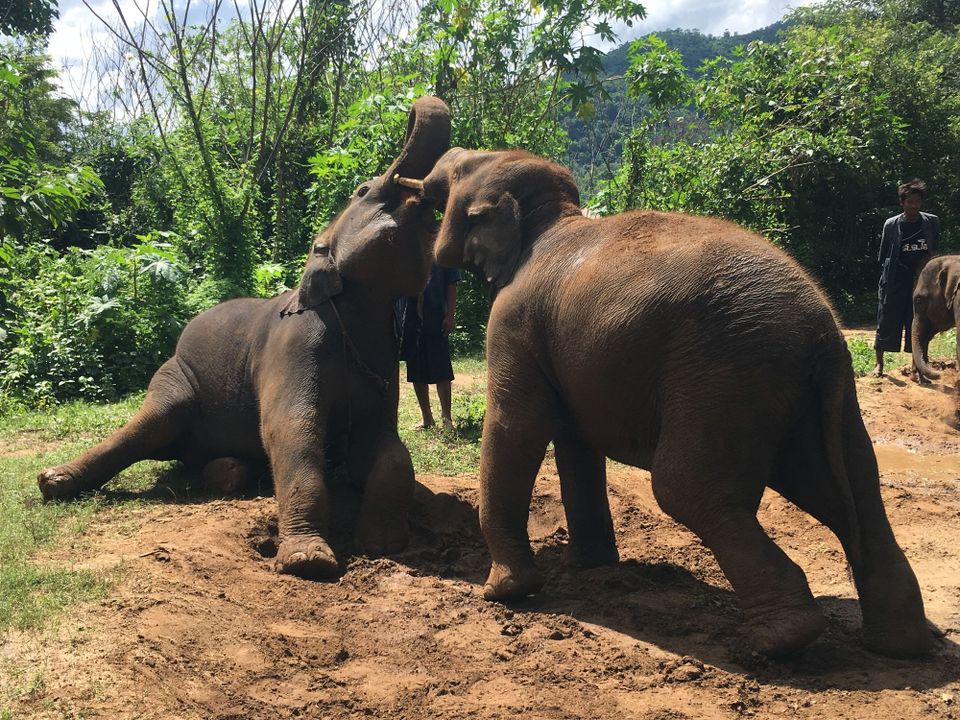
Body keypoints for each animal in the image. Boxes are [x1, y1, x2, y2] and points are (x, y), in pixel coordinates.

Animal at [37, 96, 451, 580]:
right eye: (364, 190)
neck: (354, 308)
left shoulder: (382, 363)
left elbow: (386, 449)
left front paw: (383, 543)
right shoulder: (295, 345)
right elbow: (291, 430)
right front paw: (309, 562)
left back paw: (231, 472)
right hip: (174, 376)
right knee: (151, 423)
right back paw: (53, 483)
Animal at [399, 147, 932, 657]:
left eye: (458, 171)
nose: (412, 194)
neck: (552, 219)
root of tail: (821, 329)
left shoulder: (513, 320)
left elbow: (518, 427)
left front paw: (506, 593)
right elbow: (574, 442)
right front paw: (589, 568)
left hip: (725, 378)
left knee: (687, 489)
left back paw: (779, 642)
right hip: (810, 398)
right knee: (855, 491)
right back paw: (898, 646)